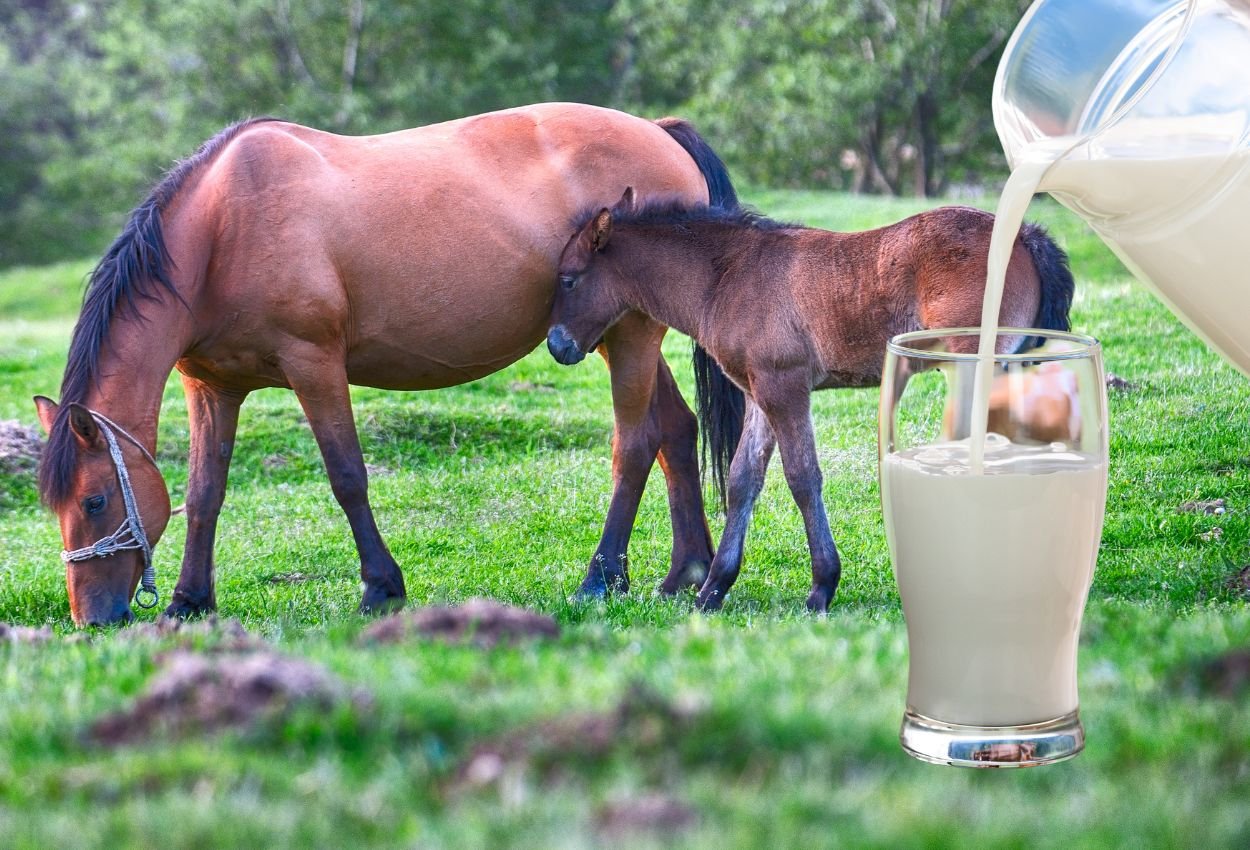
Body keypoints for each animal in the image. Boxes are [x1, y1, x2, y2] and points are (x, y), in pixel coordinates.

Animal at [36, 103, 740, 627]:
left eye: (95, 500)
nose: (93, 618)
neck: (222, 230)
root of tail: (659, 130)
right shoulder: (212, 388)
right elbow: (204, 494)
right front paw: (188, 601)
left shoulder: (314, 365)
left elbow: (347, 476)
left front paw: (381, 588)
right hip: (614, 334)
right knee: (677, 433)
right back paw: (685, 573)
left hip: (632, 334)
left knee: (636, 444)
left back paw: (602, 578)